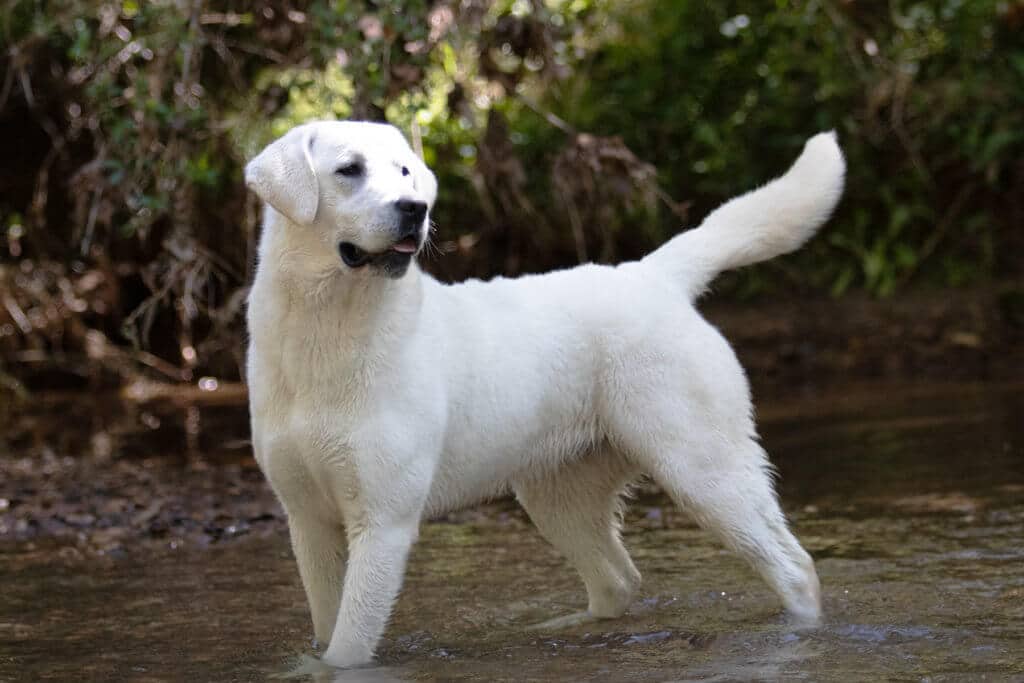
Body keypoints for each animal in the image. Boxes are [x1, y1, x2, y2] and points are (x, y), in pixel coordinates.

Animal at [243, 121, 843, 667]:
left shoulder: (383, 523)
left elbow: (347, 648)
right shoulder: (308, 521)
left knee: (795, 568)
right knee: (618, 580)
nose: (414, 208)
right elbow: (327, 630)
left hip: (702, 468)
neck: (326, 334)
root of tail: (652, 276)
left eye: (406, 171)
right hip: (560, 494)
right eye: (349, 169)